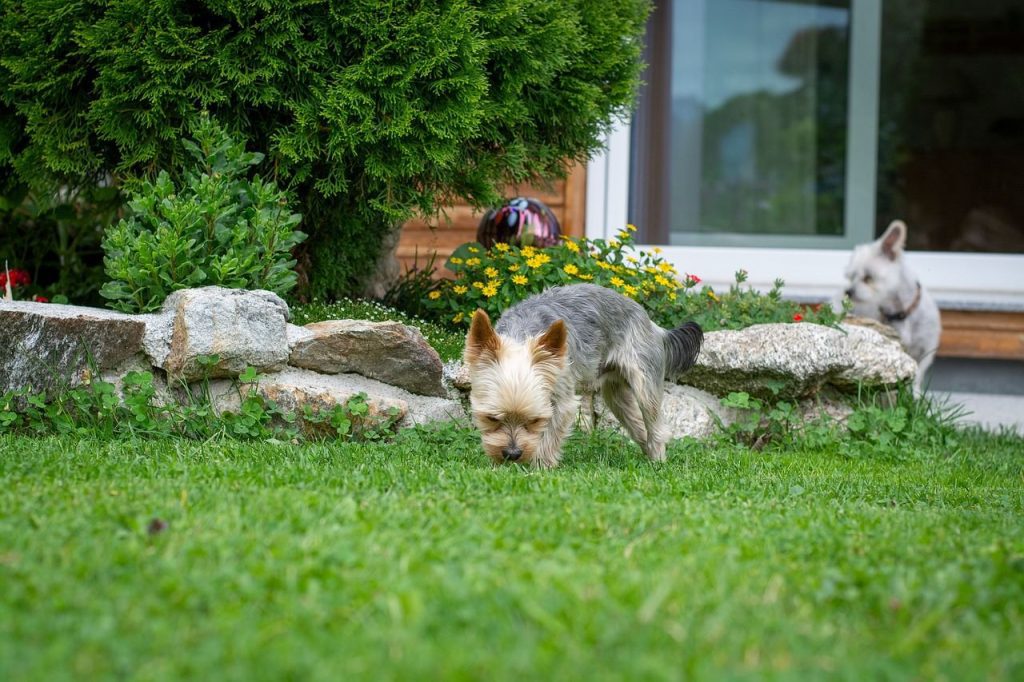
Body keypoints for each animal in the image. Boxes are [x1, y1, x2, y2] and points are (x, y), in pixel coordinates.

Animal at [464, 282, 704, 466]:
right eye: (491, 418)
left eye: (535, 420)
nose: (512, 455)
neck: (522, 336)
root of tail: (653, 325)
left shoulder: (562, 400)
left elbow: (550, 437)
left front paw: (539, 467)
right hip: (616, 396)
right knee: (637, 424)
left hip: (645, 383)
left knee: (655, 425)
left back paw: (658, 462)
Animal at [839, 218, 942, 387]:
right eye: (851, 277)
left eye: (868, 278)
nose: (848, 291)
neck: (900, 312)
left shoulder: (925, 350)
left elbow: (917, 375)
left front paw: (915, 392)